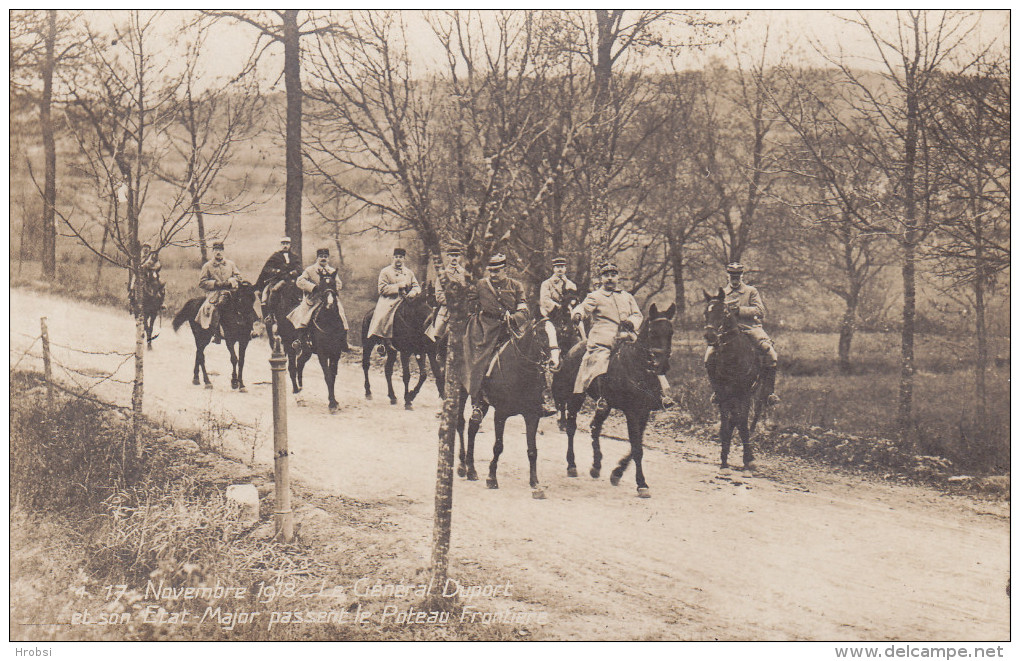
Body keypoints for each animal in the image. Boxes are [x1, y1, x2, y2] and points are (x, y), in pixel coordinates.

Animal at [459, 318, 563, 497]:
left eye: (556, 332)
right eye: (542, 334)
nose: (555, 363)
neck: (520, 370)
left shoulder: (532, 416)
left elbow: (532, 450)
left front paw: (535, 483)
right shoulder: (501, 414)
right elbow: (498, 446)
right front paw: (492, 478)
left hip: (483, 404)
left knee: (472, 427)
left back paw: (471, 469)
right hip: (461, 391)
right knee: (460, 424)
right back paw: (461, 466)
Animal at [554, 301, 673, 497]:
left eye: (671, 332)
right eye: (652, 332)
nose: (662, 365)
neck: (638, 367)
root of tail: (578, 344)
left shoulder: (644, 412)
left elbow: (636, 445)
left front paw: (617, 473)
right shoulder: (632, 412)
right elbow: (637, 448)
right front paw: (641, 484)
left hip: (605, 405)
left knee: (595, 427)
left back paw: (596, 466)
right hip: (576, 397)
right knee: (571, 427)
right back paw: (572, 465)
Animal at [701, 289, 767, 469]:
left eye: (723, 312)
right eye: (705, 312)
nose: (710, 336)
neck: (732, 356)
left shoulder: (745, 393)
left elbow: (742, 422)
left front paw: (748, 459)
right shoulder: (723, 392)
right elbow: (726, 423)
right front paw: (724, 459)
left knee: (740, 419)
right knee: (732, 419)